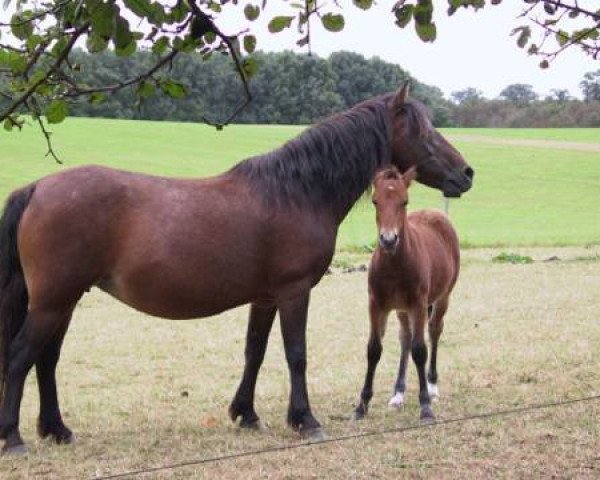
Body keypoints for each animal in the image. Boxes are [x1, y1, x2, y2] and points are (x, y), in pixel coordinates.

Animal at [352, 166, 460, 420]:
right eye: (375, 201)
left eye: (404, 201)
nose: (388, 239)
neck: (394, 266)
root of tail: (438, 215)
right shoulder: (376, 304)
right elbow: (374, 349)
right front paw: (362, 405)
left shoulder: (418, 304)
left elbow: (420, 350)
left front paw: (425, 407)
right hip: (401, 309)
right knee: (405, 338)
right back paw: (398, 393)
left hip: (442, 298)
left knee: (434, 330)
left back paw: (432, 386)